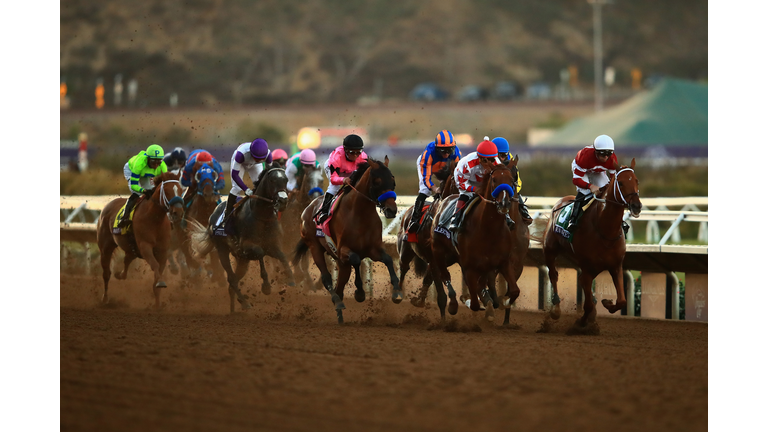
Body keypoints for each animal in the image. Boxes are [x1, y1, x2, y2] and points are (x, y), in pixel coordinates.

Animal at [96, 170, 186, 308]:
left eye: (181, 190)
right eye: (166, 190)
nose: (178, 213)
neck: (155, 219)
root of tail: (108, 205)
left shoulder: (162, 251)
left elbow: (158, 273)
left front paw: (158, 305)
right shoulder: (145, 246)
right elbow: (155, 266)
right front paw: (160, 283)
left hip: (131, 248)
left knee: (126, 260)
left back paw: (120, 274)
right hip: (106, 247)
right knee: (106, 273)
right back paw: (105, 299)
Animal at [292, 157, 400, 322]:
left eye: (392, 180)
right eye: (377, 181)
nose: (391, 210)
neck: (360, 214)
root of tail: (307, 208)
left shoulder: (373, 249)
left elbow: (387, 259)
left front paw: (396, 292)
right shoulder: (344, 250)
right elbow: (356, 259)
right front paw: (360, 293)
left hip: (341, 263)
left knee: (340, 287)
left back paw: (340, 314)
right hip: (315, 247)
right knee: (327, 278)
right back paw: (337, 302)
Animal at [428, 160, 524, 322]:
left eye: (512, 180)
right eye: (494, 180)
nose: (504, 203)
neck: (489, 229)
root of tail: (445, 201)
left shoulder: (503, 262)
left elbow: (515, 291)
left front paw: (502, 302)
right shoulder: (470, 267)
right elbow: (473, 303)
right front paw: (473, 301)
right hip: (439, 251)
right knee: (444, 275)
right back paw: (453, 304)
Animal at [544, 159, 644, 330]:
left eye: (636, 181)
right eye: (621, 183)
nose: (636, 206)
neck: (605, 230)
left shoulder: (615, 266)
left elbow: (621, 300)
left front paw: (606, 303)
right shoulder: (588, 268)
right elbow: (588, 305)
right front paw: (581, 323)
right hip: (550, 250)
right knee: (553, 275)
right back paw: (556, 310)